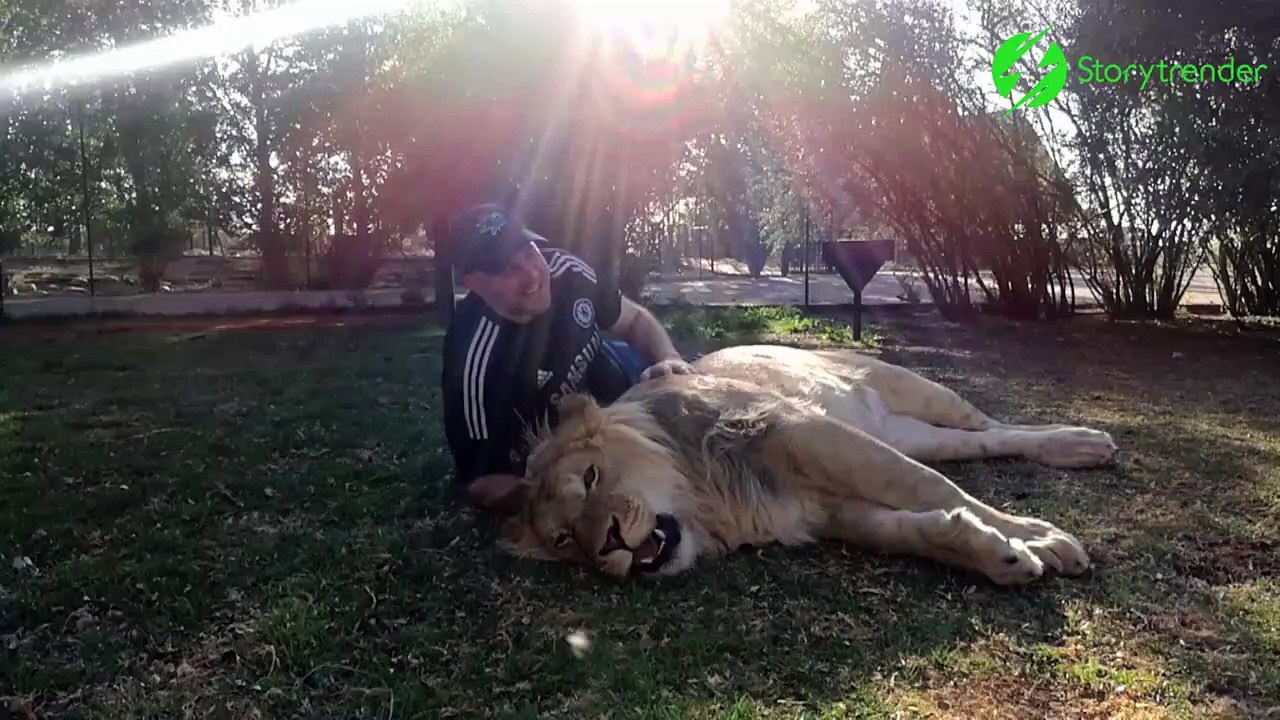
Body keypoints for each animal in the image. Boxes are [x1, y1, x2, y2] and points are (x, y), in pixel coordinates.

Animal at [476, 344, 1117, 586]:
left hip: (915, 391)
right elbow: (914, 528)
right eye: (564, 541)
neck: (710, 501)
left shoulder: (801, 432)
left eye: (591, 477)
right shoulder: (820, 511)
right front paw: (999, 556)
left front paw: (1040, 537)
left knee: (989, 428)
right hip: (903, 432)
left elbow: (933, 489)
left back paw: (1081, 442)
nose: (607, 542)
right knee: (975, 444)